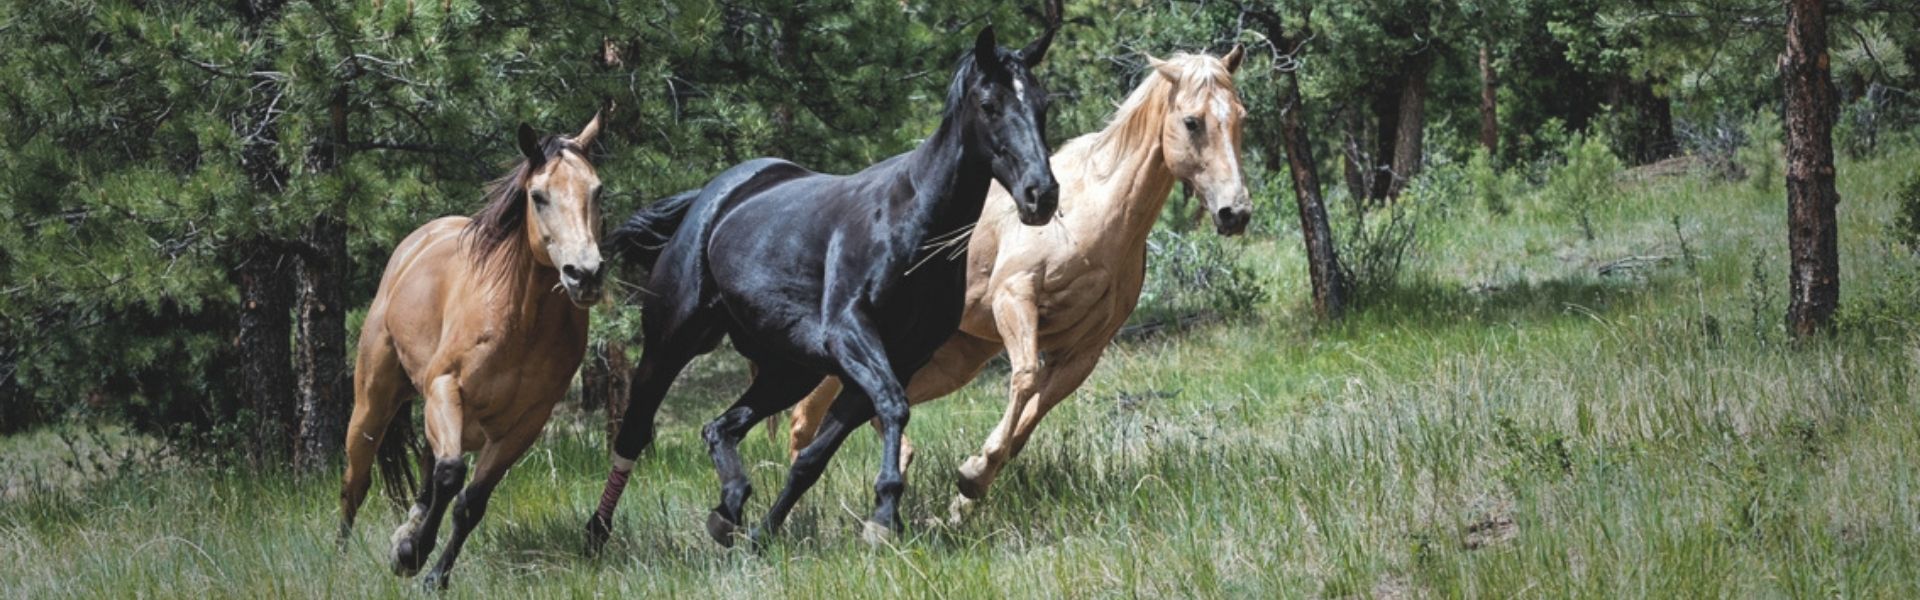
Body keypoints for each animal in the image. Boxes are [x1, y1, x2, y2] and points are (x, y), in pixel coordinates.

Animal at [337, 114, 606, 589]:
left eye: (597, 191)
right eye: (538, 196)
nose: (585, 274)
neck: (520, 320)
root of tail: (415, 244)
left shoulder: (526, 423)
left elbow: (471, 501)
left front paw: (430, 571)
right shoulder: (446, 388)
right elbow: (450, 475)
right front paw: (412, 554)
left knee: (426, 470)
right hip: (373, 404)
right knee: (356, 482)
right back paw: (340, 561)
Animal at [586, 24, 1061, 550]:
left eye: (1042, 104)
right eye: (989, 103)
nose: (1041, 195)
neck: (913, 222)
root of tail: (711, 198)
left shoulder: (893, 359)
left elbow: (813, 458)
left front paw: (765, 534)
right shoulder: (851, 334)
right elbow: (893, 406)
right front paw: (883, 515)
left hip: (790, 370)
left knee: (719, 428)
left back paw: (729, 509)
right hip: (670, 343)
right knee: (633, 432)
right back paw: (597, 533)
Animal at [782, 48, 1252, 521]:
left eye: (1240, 117)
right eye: (1192, 121)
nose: (1235, 212)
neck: (1094, 211)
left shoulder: (1084, 350)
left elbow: (1034, 414)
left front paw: (968, 488)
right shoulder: (1015, 299)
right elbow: (1024, 379)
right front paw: (972, 475)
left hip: (953, 358)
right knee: (807, 415)